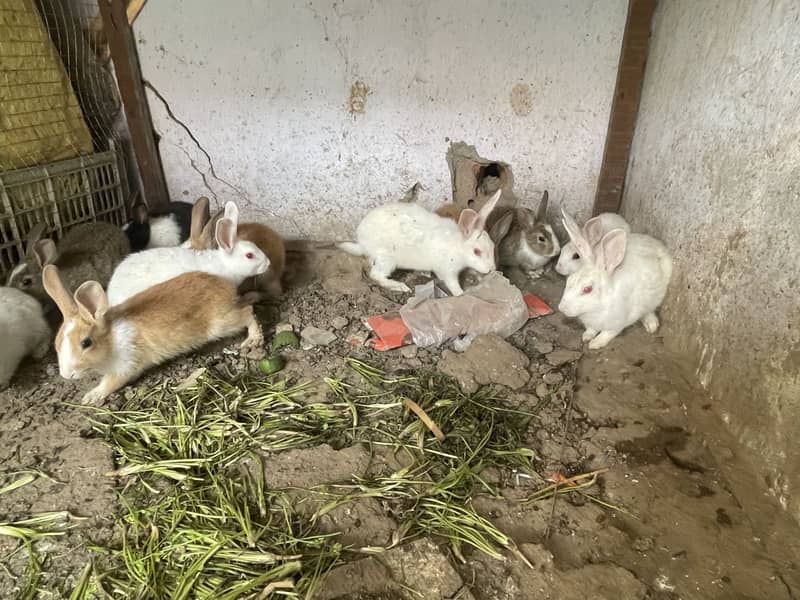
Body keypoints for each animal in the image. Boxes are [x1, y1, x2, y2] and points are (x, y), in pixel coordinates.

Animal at [42, 265, 264, 406]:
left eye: (86, 343)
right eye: (56, 343)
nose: (67, 375)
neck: (111, 340)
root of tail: (227, 286)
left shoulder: (125, 366)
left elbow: (109, 383)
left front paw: (90, 396)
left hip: (223, 323)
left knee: (249, 313)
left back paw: (253, 339)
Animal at [338, 190, 502, 296]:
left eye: (493, 246)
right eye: (476, 251)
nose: (492, 269)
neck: (458, 246)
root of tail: (362, 243)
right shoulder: (447, 271)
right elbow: (452, 284)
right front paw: (460, 294)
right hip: (387, 259)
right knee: (376, 275)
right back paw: (400, 286)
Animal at [557, 210, 672, 350]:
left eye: (587, 289)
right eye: (569, 281)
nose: (561, 308)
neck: (599, 305)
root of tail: (657, 244)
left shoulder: (617, 324)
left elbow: (607, 334)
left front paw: (595, 344)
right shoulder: (592, 324)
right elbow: (591, 329)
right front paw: (587, 336)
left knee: (649, 310)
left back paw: (651, 325)